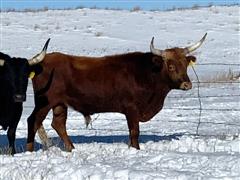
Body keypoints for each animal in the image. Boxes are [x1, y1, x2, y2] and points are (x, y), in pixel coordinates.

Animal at [26, 33, 206, 151]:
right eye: (170, 66)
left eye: (185, 64)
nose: (187, 84)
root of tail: (41, 61)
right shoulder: (131, 108)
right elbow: (134, 132)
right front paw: (136, 150)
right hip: (44, 102)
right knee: (33, 121)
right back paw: (30, 150)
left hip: (59, 104)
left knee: (58, 124)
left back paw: (72, 149)